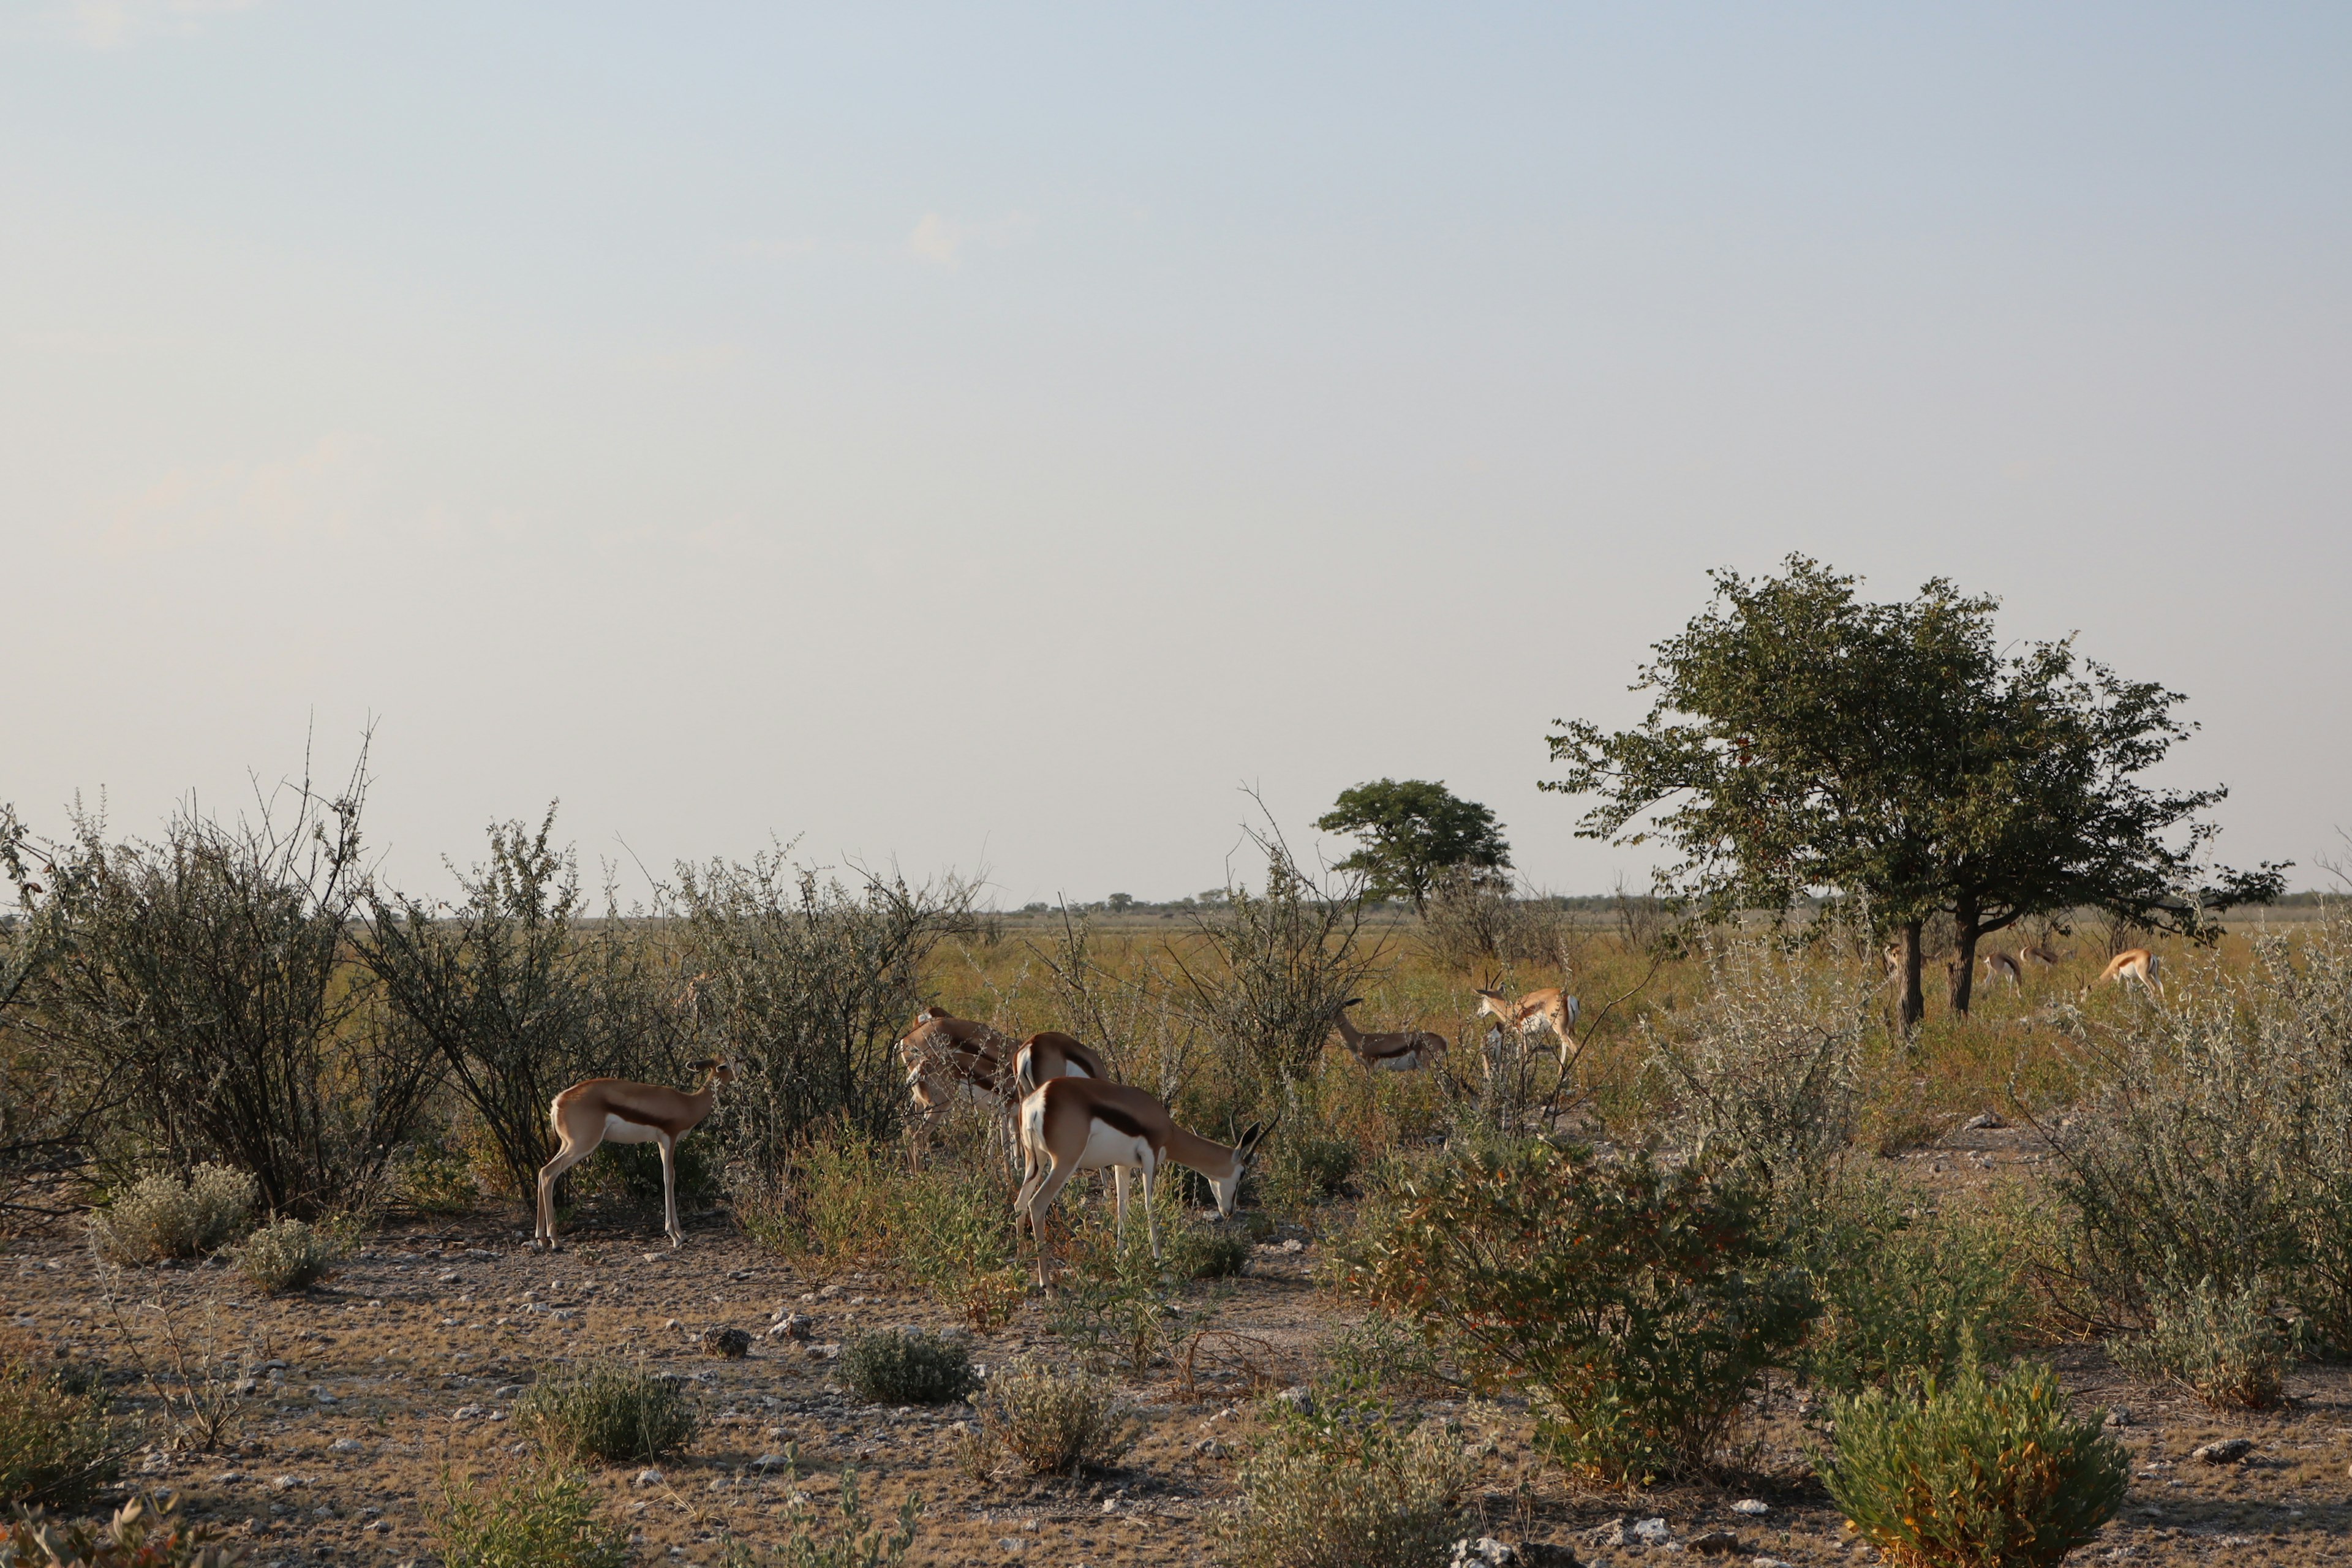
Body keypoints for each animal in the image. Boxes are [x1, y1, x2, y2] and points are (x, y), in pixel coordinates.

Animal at [536, 1062, 734, 1260]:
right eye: (730, 1063)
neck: (687, 1104)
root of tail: (558, 1102)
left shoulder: (661, 1142)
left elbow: (668, 1178)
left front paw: (680, 1234)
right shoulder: (669, 1138)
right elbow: (669, 1178)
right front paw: (676, 1236)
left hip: (567, 1145)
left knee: (542, 1171)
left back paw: (542, 1239)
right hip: (581, 1146)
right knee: (548, 1173)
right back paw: (555, 1242)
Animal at [1011, 1081, 1270, 1288]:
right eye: (1243, 1173)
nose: (1229, 1211)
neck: (1167, 1127)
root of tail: (1040, 1097)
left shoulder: (1122, 1165)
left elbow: (1122, 1209)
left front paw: (1119, 1264)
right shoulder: (1150, 1157)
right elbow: (1149, 1208)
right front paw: (1164, 1271)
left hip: (1035, 1160)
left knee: (1020, 1203)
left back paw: (1021, 1270)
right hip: (1063, 1162)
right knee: (1037, 1204)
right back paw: (1048, 1287)